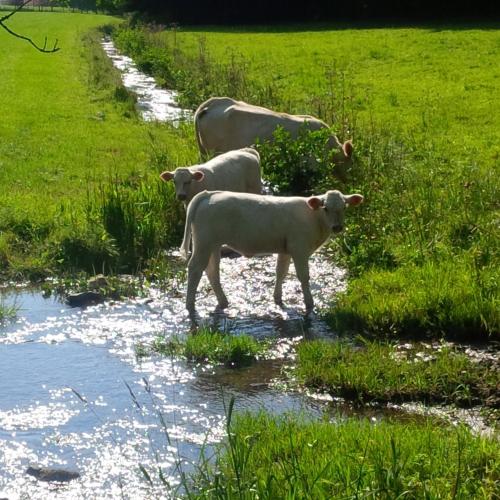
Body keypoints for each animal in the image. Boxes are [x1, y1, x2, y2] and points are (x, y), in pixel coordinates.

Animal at [180, 189, 364, 314]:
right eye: (325, 208)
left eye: (345, 207)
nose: (337, 227)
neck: (315, 220)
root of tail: (209, 194)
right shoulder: (299, 249)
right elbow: (303, 276)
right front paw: (309, 303)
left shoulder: (286, 250)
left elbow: (281, 272)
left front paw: (277, 298)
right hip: (204, 243)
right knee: (195, 269)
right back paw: (190, 305)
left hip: (213, 245)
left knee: (212, 271)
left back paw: (223, 302)